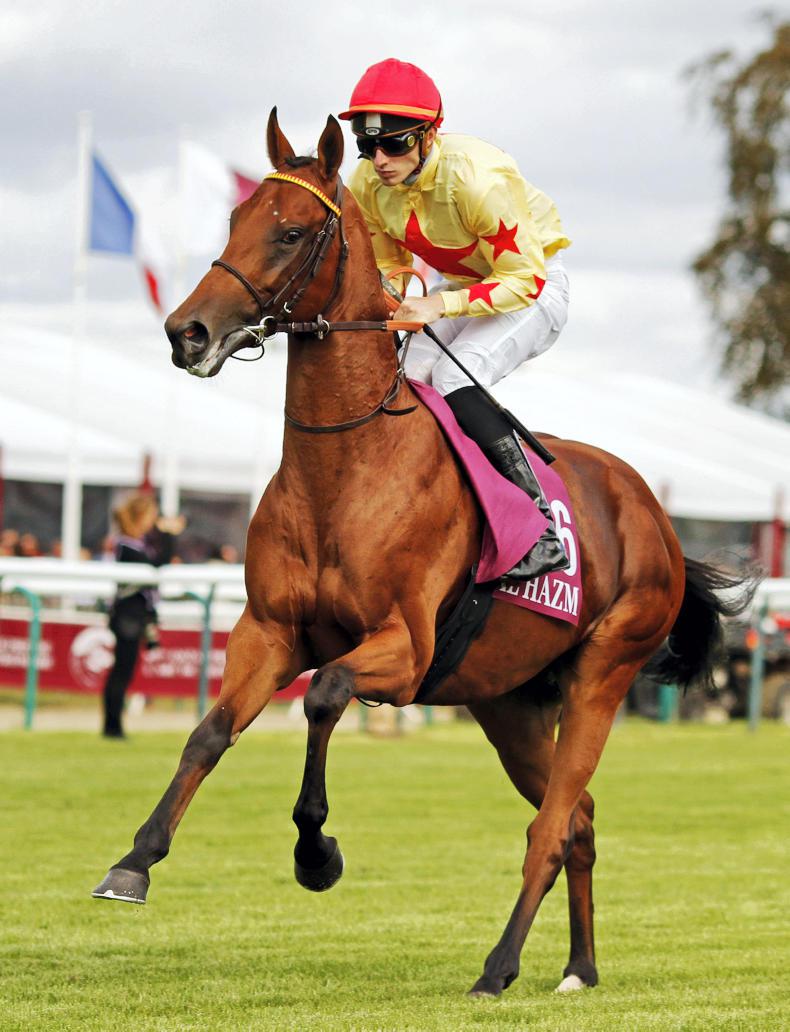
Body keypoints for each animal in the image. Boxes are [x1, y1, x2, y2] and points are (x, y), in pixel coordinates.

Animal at [92, 110, 749, 997]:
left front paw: (316, 853)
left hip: (602, 675)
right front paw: (134, 861)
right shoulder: (268, 631)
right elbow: (209, 732)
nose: (185, 331)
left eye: (290, 232)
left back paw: (497, 968)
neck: (346, 467)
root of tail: (654, 513)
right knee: (577, 818)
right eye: (234, 220)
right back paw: (577, 967)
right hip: (510, 702)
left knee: (551, 827)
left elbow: (325, 695)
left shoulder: (403, 650)